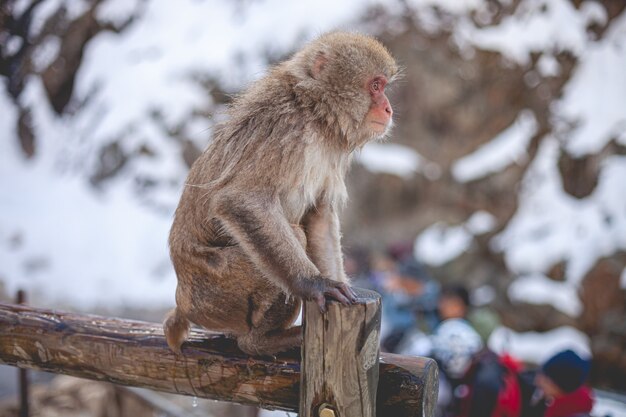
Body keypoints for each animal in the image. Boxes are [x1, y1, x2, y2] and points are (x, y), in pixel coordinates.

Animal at [162, 31, 394, 354]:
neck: (315, 114)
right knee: (292, 234)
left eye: (383, 86)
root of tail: (182, 299)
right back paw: (259, 342)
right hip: (214, 292)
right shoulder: (283, 129)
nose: (388, 108)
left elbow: (319, 217)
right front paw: (314, 284)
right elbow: (241, 200)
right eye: (375, 85)